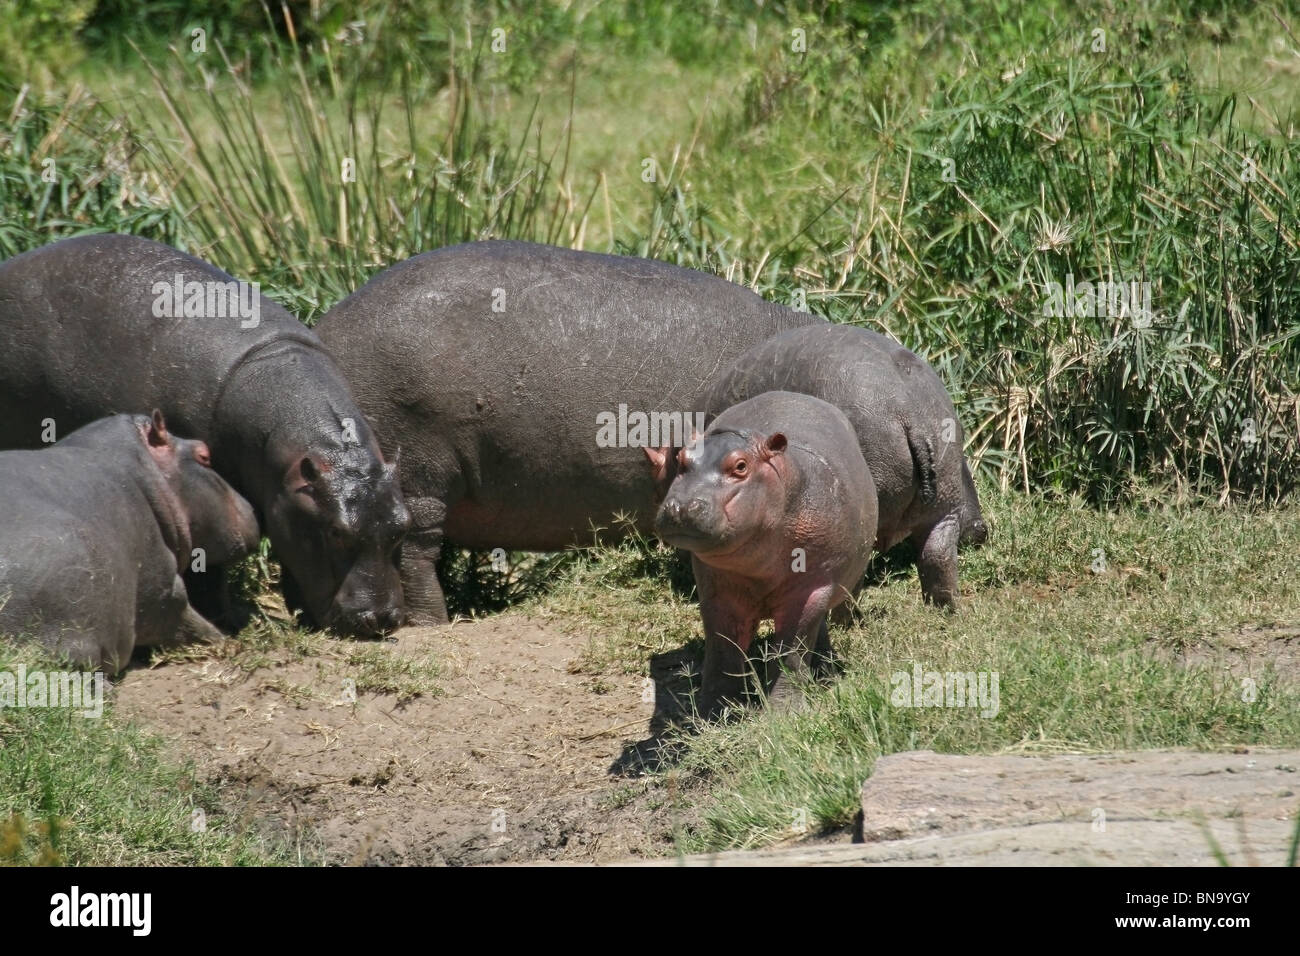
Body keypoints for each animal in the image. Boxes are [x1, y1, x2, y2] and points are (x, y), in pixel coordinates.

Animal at [650, 392, 873, 712]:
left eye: (741, 466)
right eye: (680, 460)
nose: (680, 506)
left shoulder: (809, 590)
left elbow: (792, 651)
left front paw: (784, 713)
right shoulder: (718, 593)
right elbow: (723, 649)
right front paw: (716, 713)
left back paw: (825, 673)